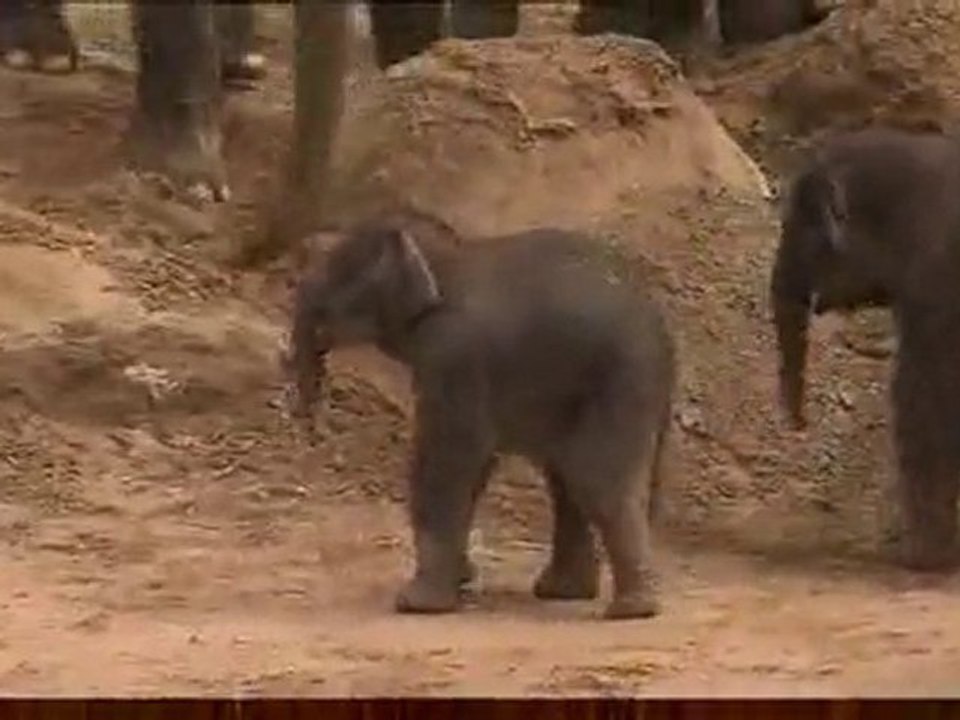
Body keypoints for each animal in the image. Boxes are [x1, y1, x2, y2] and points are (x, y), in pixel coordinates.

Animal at [284, 209, 677, 620]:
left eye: (332, 274)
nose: (314, 423)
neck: (447, 258)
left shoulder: (454, 352)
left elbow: (451, 455)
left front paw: (417, 604)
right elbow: (476, 463)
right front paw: (461, 581)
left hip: (620, 384)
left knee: (595, 479)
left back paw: (631, 609)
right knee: (567, 478)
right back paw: (564, 592)